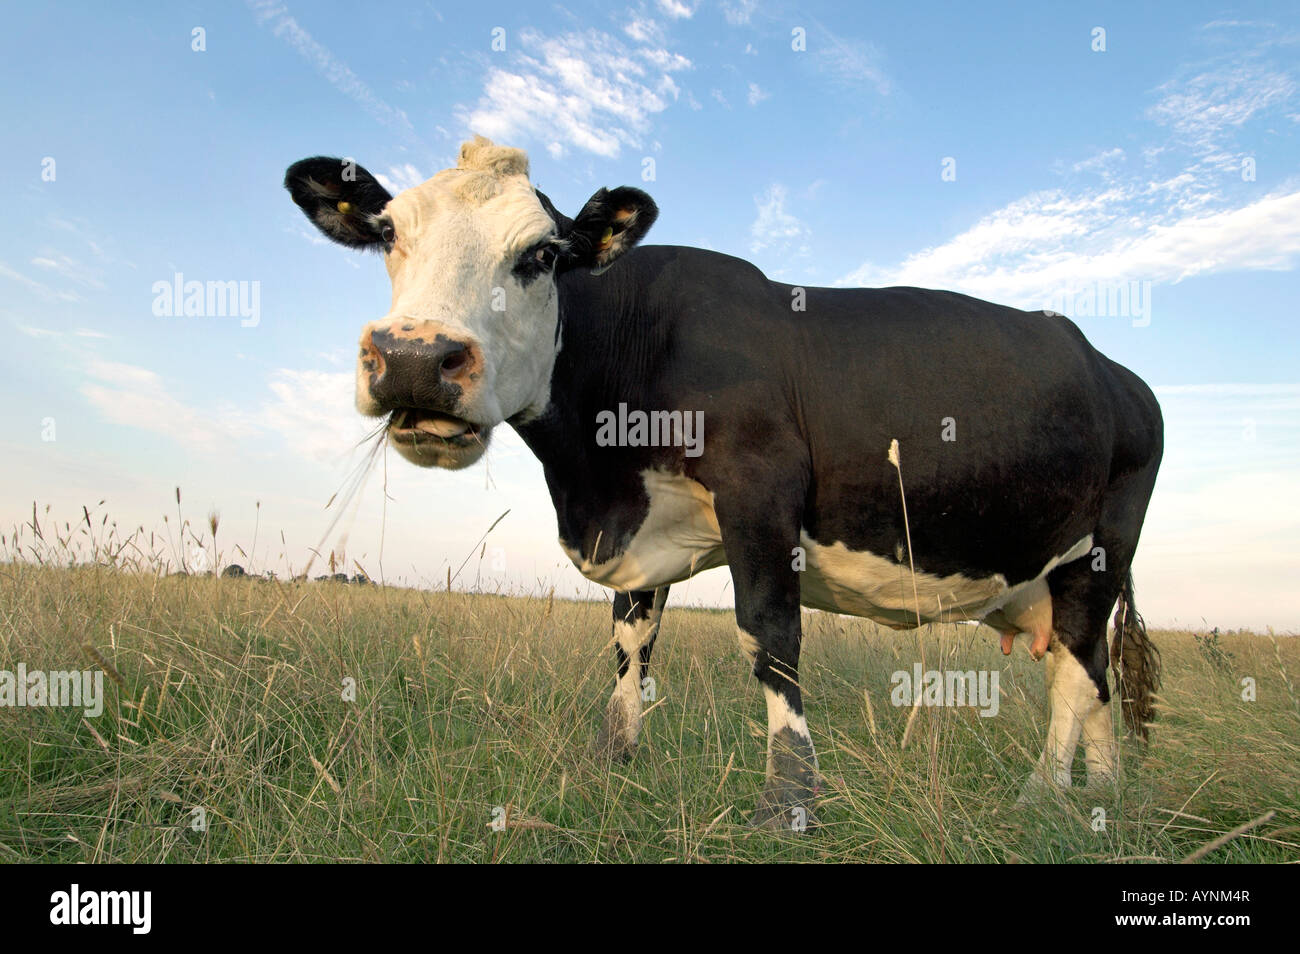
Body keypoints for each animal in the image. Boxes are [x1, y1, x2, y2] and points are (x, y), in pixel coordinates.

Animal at [285, 137, 1163, 829]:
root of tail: (1115, 371)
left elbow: (770, 638)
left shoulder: (760, 491)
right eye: (390, 235)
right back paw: (1104, 797)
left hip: (1099, 551)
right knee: (1094, 677)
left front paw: (789, 802)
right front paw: (613, 761)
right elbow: (630, 647)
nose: (412, 358)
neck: (594, 478)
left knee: (1077, 678)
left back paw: (1043, 796)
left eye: (541, 255)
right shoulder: (640, 535)